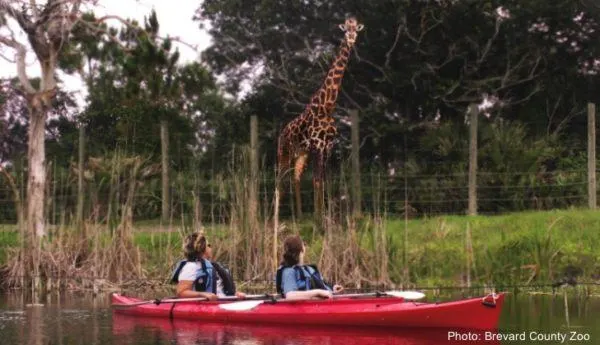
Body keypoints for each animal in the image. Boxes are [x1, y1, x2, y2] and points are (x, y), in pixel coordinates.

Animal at [276, 17, 360, 216]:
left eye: (356, 29)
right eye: (346, 29)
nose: (351, 39)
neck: (327, 106)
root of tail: (281, 134)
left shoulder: (327, 147)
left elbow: (324, 181)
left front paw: (324, 216)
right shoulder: (317, 146)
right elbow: (316, 181)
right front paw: (319, 217)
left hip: (300, 154)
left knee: (295, 178)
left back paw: (298, 216)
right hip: (284, 152)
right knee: (279, 183)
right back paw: (275, 218)